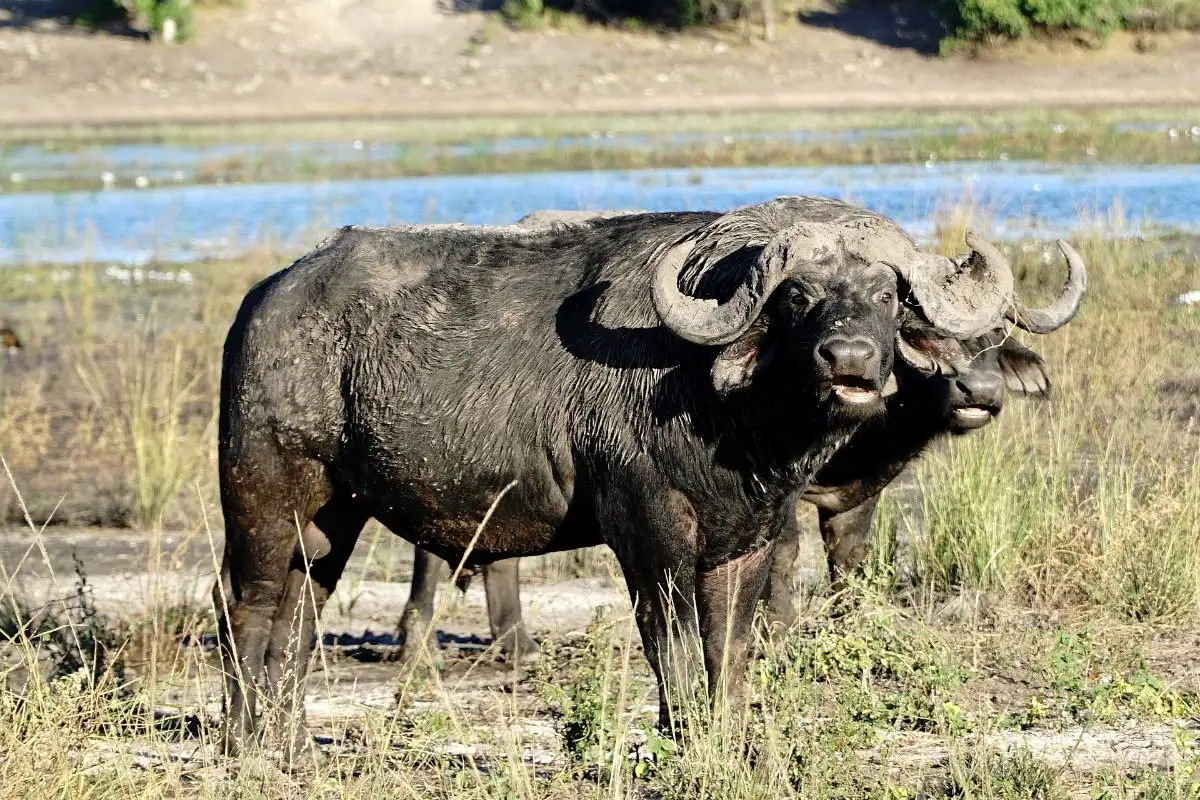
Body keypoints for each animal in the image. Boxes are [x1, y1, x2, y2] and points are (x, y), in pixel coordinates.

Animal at [214, 196, 1065, 753]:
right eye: (797, 296)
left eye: (887, 294)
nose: (848, 358)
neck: (729, 415)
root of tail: (266, 298)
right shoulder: (648, 533)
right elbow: (673, 644)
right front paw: (681, 738)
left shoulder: (751, 539)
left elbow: (731, 647)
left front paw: (725, 741)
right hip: (261, 499)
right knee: (245, 608)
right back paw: (240, 743)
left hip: (332, 520)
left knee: (298, 618)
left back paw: (287, 741)